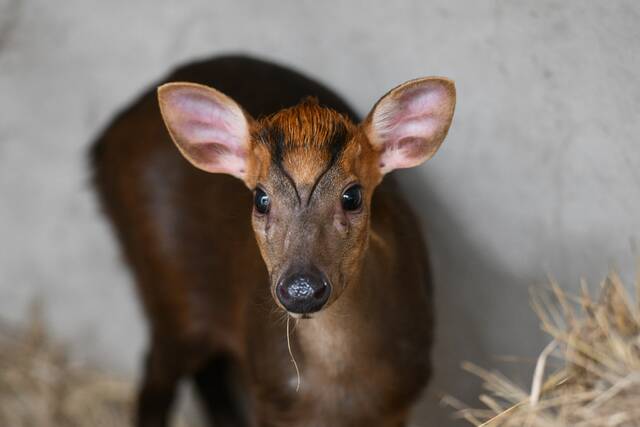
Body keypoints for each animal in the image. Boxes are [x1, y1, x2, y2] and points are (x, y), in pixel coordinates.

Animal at [91, 54, 456, 427]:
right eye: (261, 198)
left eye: (352, 196)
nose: (301, 288)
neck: (340, 388)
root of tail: (104, 140)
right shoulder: (271, 394)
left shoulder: (399, 403)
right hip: (166, 283)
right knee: (158, 373)